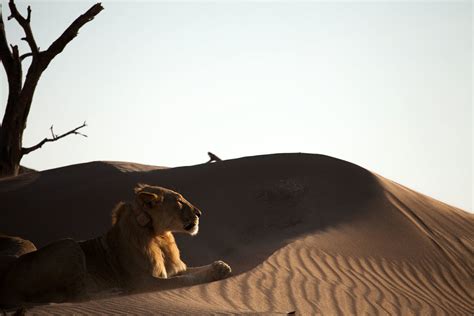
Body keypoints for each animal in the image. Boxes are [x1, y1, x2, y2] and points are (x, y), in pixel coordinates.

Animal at [0, 184, 232, 304]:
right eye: (179, 201)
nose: (200, 213)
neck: (159, 236)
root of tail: (10, 272)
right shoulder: (143, 282)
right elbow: (184, 280)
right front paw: (217, 271)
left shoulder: (174, 269)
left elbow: (193, 270)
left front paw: (220, 266)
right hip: (69, 245)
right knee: (74, 297)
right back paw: (113, 293)